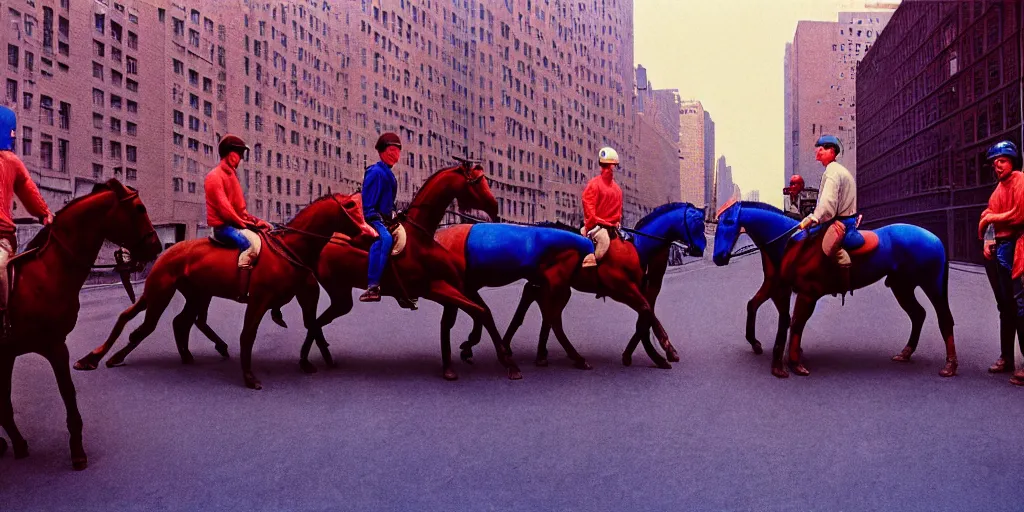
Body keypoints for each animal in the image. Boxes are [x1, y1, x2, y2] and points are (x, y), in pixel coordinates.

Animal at [0, 178, 161, 468]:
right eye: (140, 208)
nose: (156, 246)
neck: (47, 272)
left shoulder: (8, 352)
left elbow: (5, 404)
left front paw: (18, 444)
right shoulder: (54, 346)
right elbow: (68, 392)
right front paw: (77, 450)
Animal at [74, 193, 374, 389]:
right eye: (351, 206)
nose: (371, 234)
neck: (291, 249)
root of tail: (167, 251)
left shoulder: (306, 296)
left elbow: (313, 325)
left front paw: (314, 361)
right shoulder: (259, 300)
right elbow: (248, 335)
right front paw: (249, 377)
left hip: (196, 294)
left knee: (179, 321)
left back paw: (185, 355)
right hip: (160, 292)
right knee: (142, 326)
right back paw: (110, 357)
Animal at [292, 159, 524, 380]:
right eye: (475, 181)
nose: (495, 207)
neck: (421, 238)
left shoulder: (456, 285)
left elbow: (477, 312)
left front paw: (463, 354)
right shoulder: (434, 288)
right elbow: (478, 311)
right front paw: (507, 362)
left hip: (341, 297)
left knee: (317, 322)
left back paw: (323, 357)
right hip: (340, 294)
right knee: (315, 322)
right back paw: (306, 359)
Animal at [452, 201, 708, 370]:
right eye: (696, 223)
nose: (699, 249)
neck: (637, 247)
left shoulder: (640, 290)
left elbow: (645, 318)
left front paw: (640, 353)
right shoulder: (622, 289)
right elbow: (646, 315)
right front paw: (664, 350)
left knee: (534, 303)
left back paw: (529, 350)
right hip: (558, 286)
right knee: (547, 313)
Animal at [708, 199, 954, 380]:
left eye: (729, 222)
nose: (718, 257)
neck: (787, 242)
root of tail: (935, 238)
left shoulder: (807, 294)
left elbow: (795, 323)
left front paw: (794, 362)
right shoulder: (774, 285)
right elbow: (755, 305)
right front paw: (757, 344)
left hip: (931, 285)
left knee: (944, 318)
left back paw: (950, 365)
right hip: (902, 286)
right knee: (918, 314)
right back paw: (906, 353)